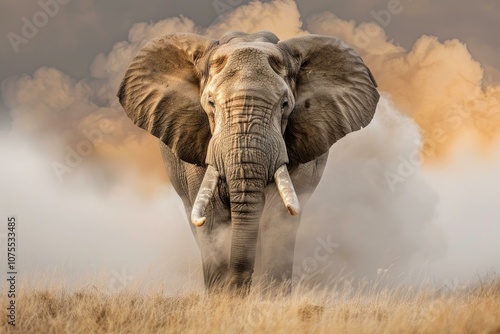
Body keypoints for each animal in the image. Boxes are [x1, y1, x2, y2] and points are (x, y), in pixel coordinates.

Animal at [117, 30, 378, 292]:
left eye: (285, 104)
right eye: (210, 103)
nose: (240, 287)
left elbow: (277, 217)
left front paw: (271, 296)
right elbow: (212, 219)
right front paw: (223, 297)